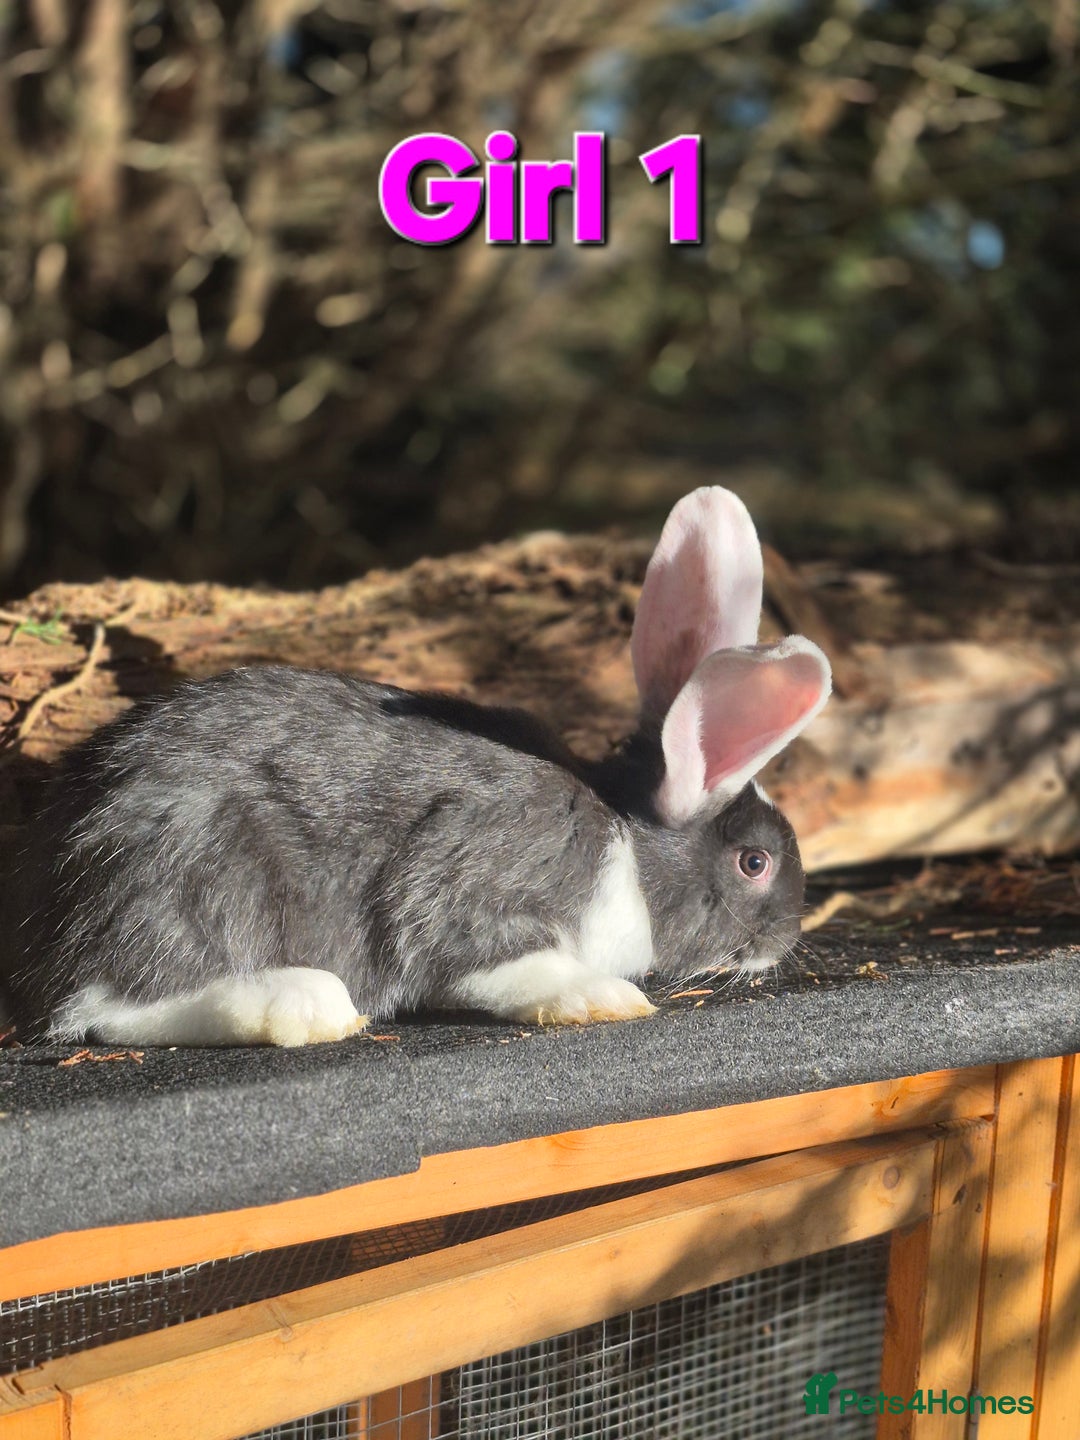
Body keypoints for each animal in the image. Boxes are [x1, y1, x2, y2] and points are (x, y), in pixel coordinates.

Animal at [2, 487, 831, 1047]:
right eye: (754, 862)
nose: (786, 938)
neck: (627, 844)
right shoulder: (479, 893)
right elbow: (495, 959)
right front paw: (599, 997)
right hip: (204, 875)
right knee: (107, 1005)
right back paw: (301, 1005)